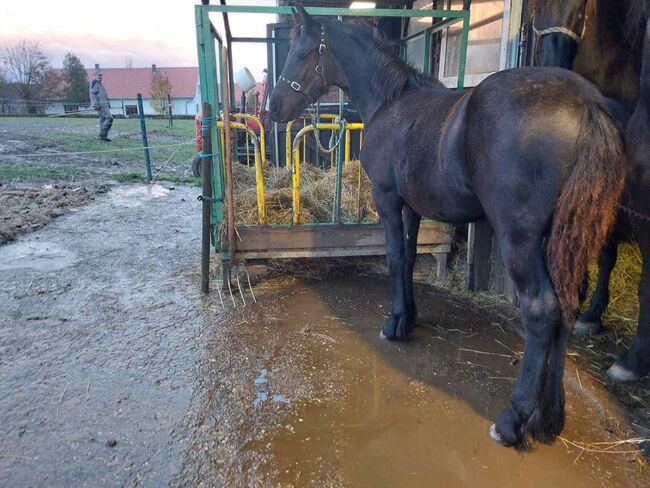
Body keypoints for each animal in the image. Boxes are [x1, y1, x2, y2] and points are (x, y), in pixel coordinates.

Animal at [268, 6, 624, 446]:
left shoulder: (388, 199)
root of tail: (586, 102)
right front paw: (410, 318)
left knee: (542, 309)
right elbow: (406, 259)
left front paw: (393, 324)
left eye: (301, 52)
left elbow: (394, 256)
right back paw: (548, 419)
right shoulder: (412, 207)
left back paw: (512, 420)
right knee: (567, 306)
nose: (274, 108)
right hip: (561, 238)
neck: (391, 103)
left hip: (520, 237)